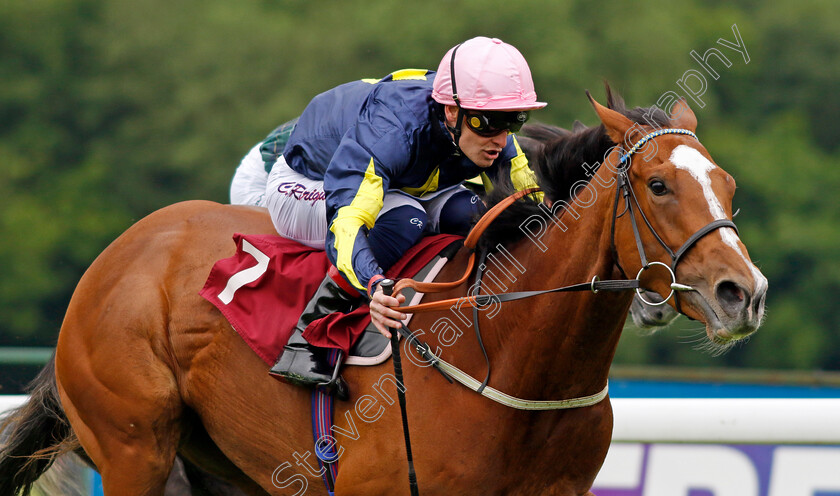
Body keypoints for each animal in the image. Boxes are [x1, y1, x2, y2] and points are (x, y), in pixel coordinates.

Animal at [0, 87, 768, 494]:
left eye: (727, 184)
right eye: (659, 185)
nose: (744, 293)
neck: (513, 359)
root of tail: (120, 253)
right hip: (136, 446)